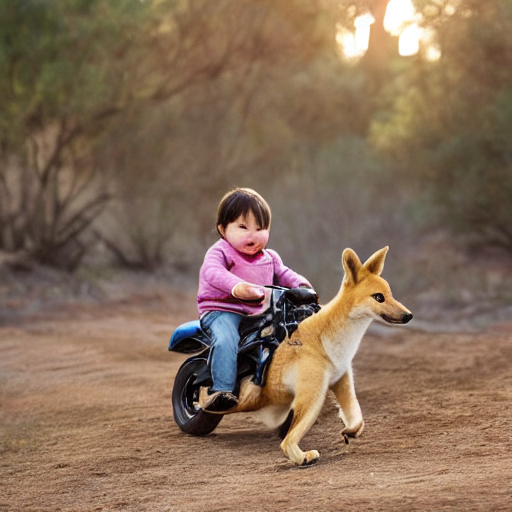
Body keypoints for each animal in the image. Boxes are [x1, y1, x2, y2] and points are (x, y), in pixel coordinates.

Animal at [200, 246, 412, 466]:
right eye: (379, 297)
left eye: (390, 294)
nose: (409, 315)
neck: (328, 340)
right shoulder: (313, 392)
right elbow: (290, 439)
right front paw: (303, 456)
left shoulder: (341, 381)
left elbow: (356, 418)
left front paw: (348, 431)